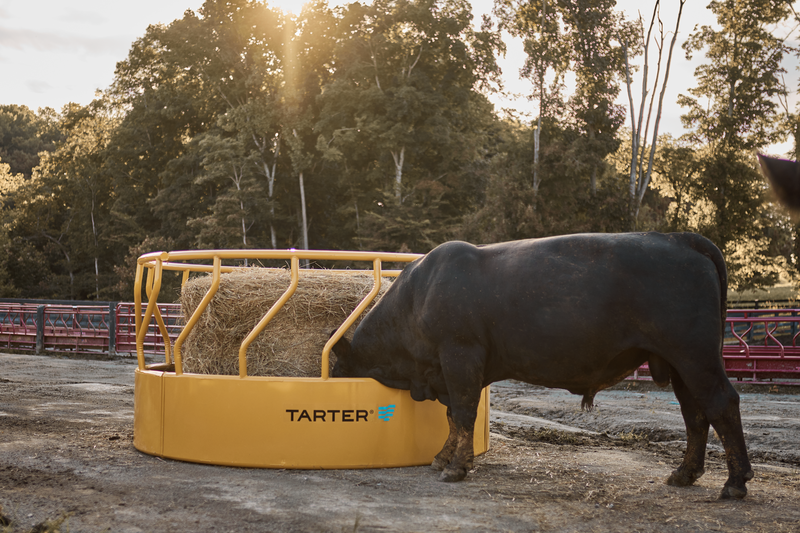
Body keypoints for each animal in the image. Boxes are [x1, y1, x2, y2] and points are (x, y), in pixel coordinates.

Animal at [332, 232, 753, 499]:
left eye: (335, 371)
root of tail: (679, 237)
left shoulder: (460, 355)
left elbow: (464, 412)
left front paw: (455, 467)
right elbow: (453, 416)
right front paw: (442, 458)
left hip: (695, 356)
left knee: (722, 404)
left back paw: (735, 483)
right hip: (680, 364)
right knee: (695, 414)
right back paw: (684, 473)